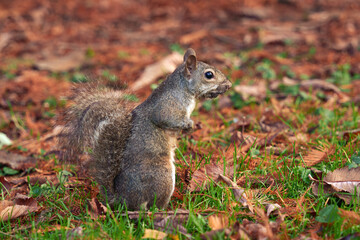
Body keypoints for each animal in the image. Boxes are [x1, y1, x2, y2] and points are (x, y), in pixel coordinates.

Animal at [59, 48, 231, 210]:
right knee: (151, 205)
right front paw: (189, 124)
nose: (229, 84)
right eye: (209, 74)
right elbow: (165, 118)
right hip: (162, 175)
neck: (183, 90)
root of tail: (121, 200)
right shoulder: (167, 105)